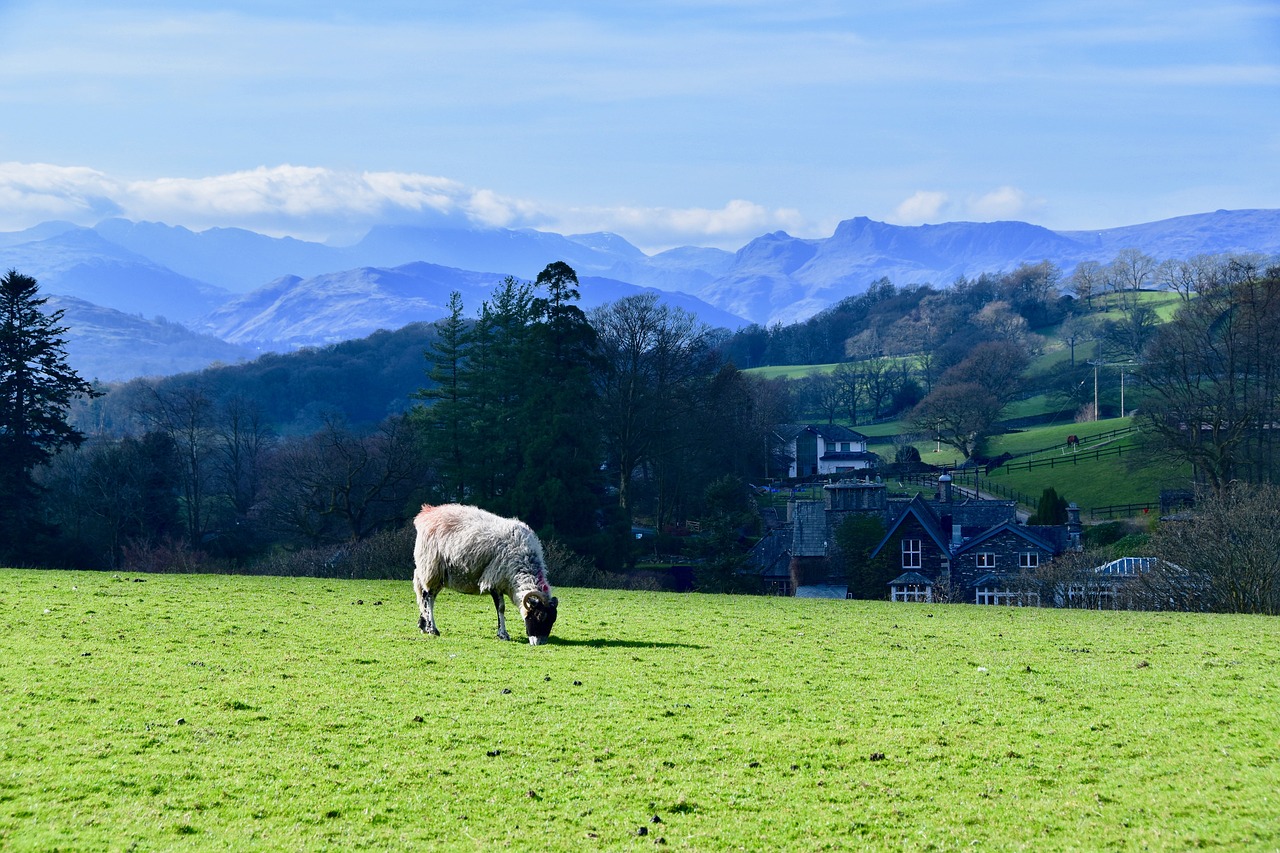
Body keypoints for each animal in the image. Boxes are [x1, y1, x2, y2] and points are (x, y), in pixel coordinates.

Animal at [412, 499, 558, 645]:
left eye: (553, 620)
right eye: (539, 615)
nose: (540, 643)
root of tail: (427, 513)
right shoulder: (494, 580)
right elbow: (501, 608)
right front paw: (503, 634)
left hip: (440, 574)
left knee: (427, 596)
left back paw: (424, 625)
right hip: (431, 567)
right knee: (428, 597)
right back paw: (432, 629)